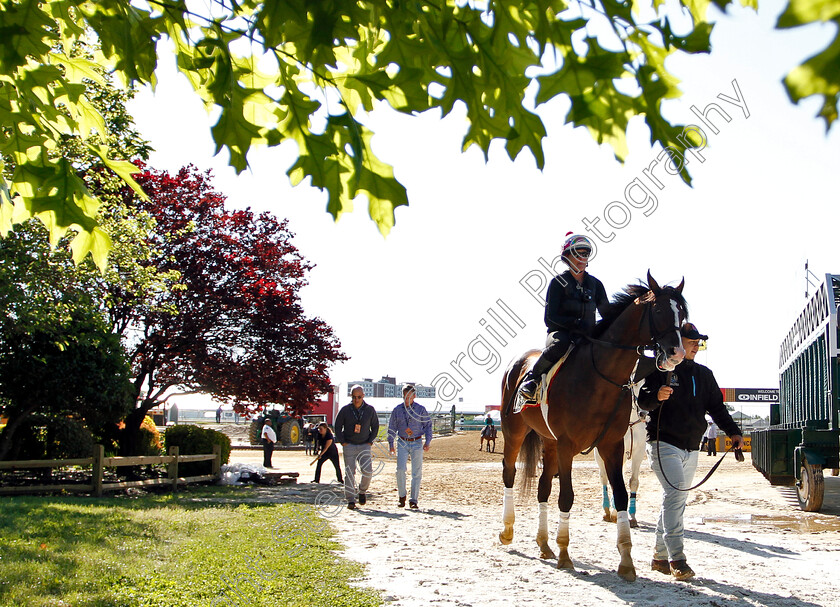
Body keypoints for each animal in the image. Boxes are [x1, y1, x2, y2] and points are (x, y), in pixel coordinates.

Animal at [496, 274, 684, 580]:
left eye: (682, 313)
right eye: (658, 311)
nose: (676, 353)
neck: (599, 376)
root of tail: (518, 362)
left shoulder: (612, 446)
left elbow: (621, 494)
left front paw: (626, 560)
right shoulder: (567, 446)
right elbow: (567, 498)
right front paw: (564, 553)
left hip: (549, 443)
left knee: (543, 488)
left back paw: (543, 544)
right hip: (514, 434)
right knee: (509, 474)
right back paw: (508, 530)